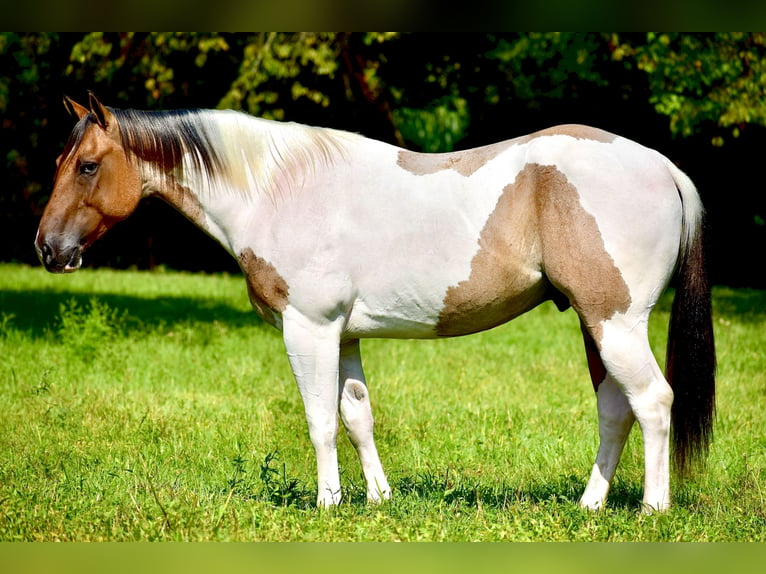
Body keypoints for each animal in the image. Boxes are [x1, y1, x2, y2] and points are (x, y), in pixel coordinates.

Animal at [36, 93, 716, 512]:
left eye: (89, 166)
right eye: (60, 161)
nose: (47, 247)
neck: (278, 188)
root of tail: (663, 166)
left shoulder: (307, 329)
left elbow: (319, 420)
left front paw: (327, 504)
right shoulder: (343, 335)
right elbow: (357, 416)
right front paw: (377, 499)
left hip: (616, 323)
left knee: (654, 401)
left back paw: (653, 509)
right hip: (595, 325)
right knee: (616, 410)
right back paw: (590, 506)